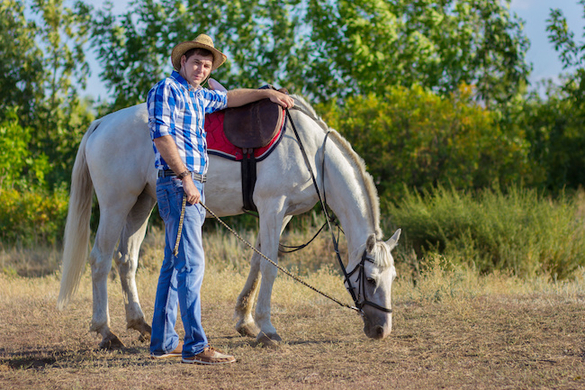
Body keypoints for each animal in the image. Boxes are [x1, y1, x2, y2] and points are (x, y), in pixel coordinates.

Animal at [57, 96, 400, 348]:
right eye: (370, 280)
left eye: (393, 278)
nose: (382, 329)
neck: (313, 154)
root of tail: (102, 123)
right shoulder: (273, 207)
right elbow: (270, 267)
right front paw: (268, 329)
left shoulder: (282, 214)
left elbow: (257, 264)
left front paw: (246, 321)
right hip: (116, 204)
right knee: (100, 260)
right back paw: (106, 332)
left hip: (141, 203)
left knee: (125, 259)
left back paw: (140, 323)